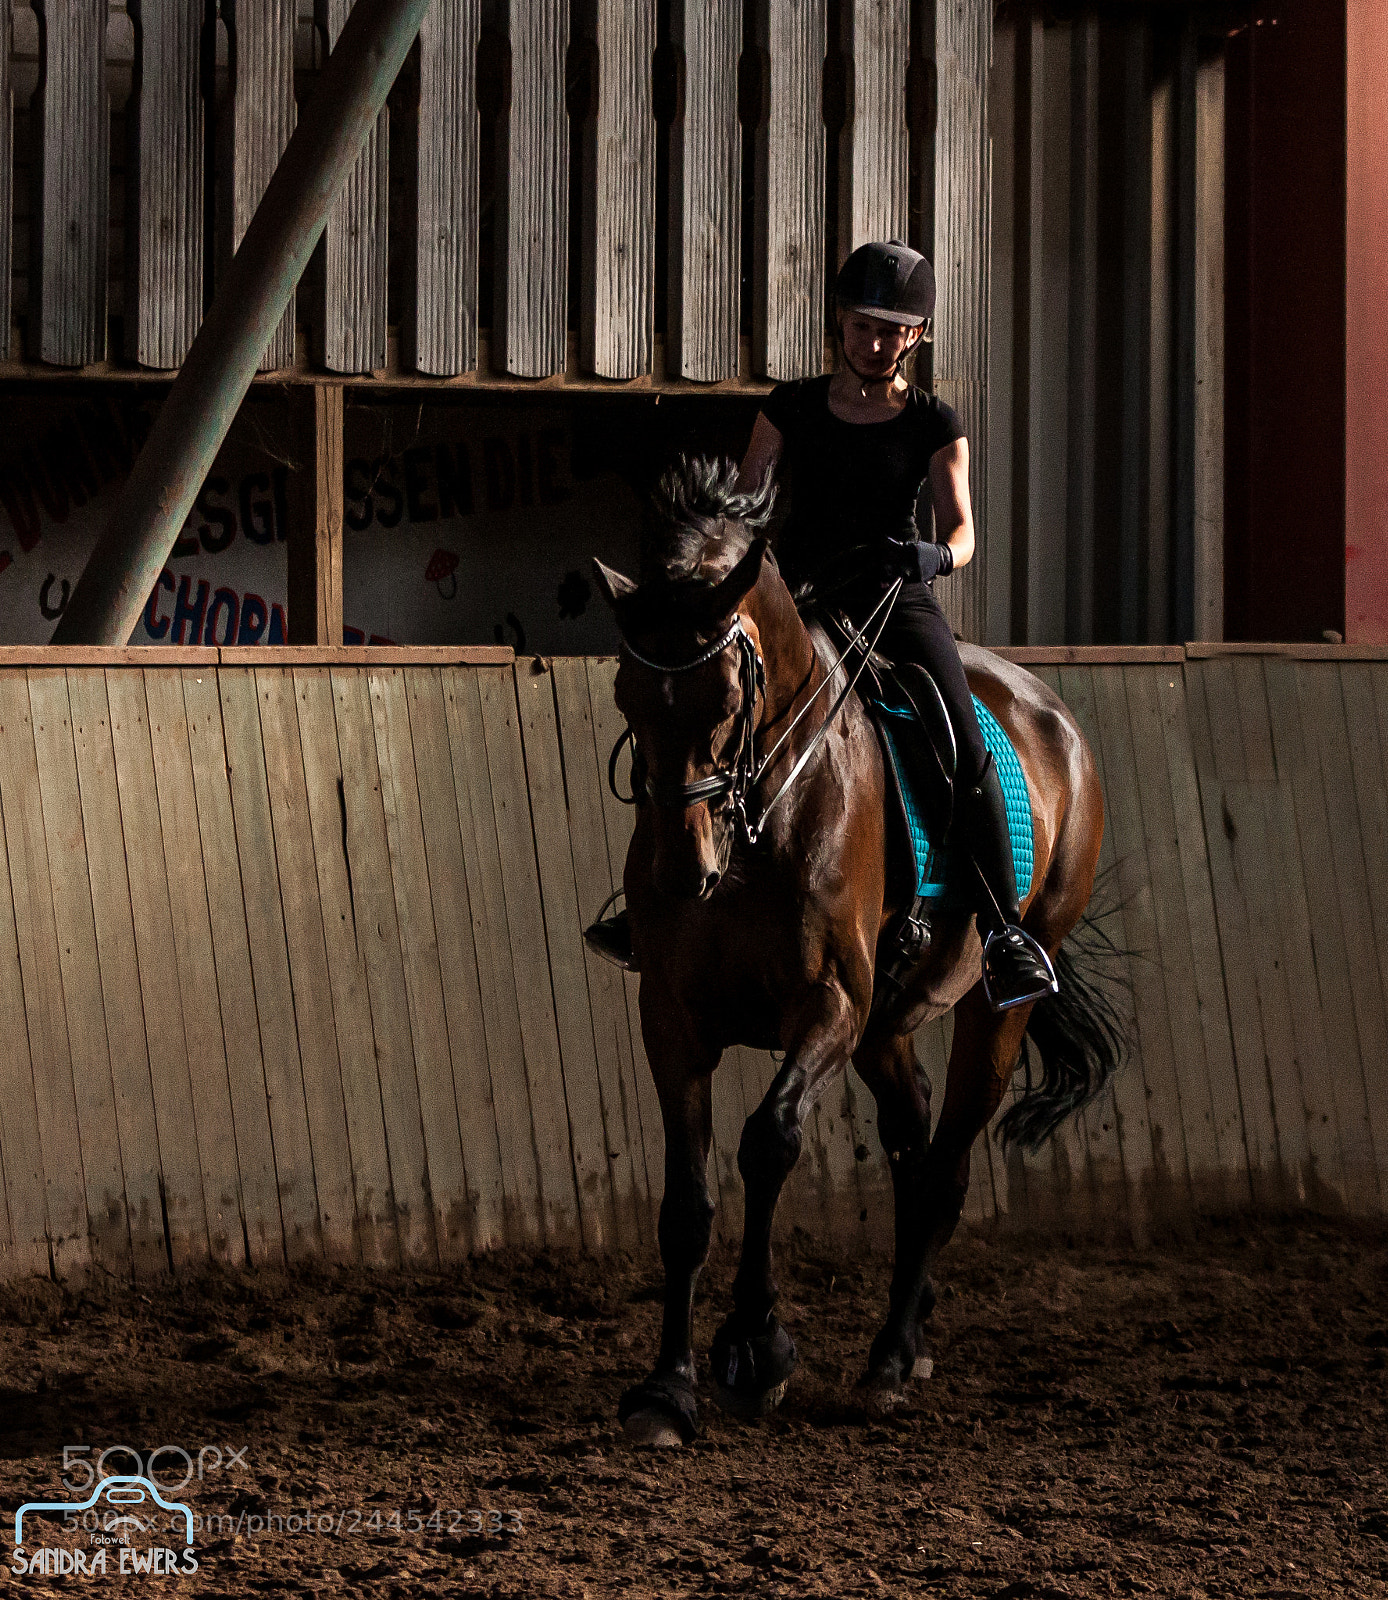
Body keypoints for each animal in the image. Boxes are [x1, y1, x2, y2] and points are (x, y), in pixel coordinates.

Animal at [592, 458, 1121, 1448]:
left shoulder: (828, 1005)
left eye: (729, 700)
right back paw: (908, 1336)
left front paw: (756, 1350)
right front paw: (667, 1389)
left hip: (993, 1007)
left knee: (945, 1167)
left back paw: (888, 1362)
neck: (761, 819)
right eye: (626, 697)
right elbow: (686, 1203)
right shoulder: (672, 1018)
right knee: (913, 1148)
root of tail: (1054, 716)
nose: (685, 870)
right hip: (888, 1026)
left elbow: (768, 1143)